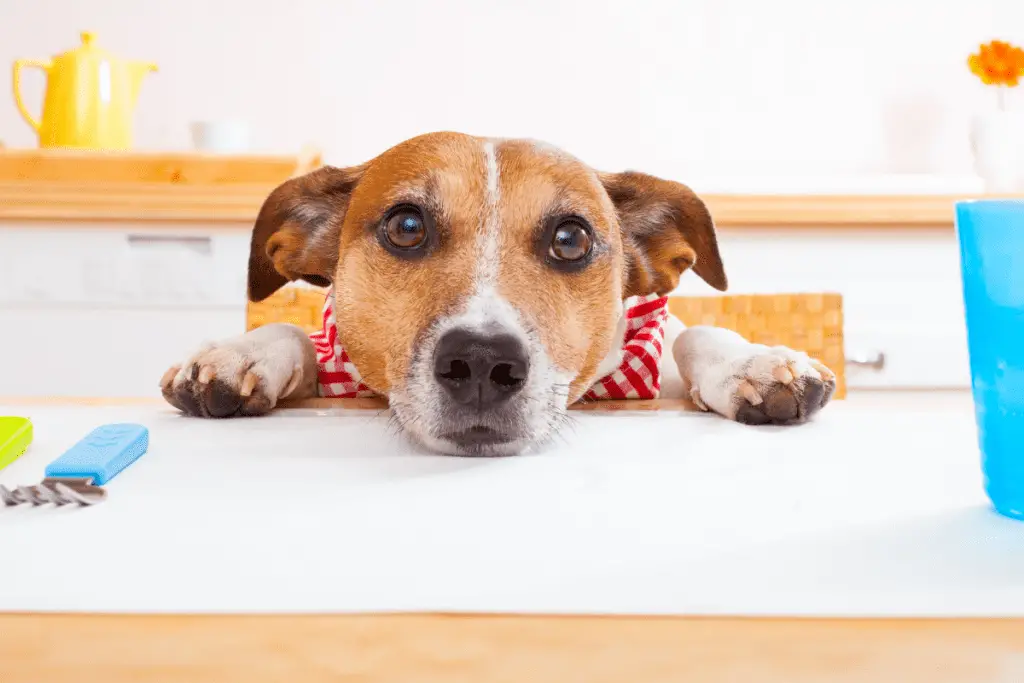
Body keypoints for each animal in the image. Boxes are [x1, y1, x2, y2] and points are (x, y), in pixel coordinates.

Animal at [157, 132, 831, 456]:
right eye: (407, 225)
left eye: (570, 238)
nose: (481, 362)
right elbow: (295, 331)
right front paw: (239, 354)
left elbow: (695, 334)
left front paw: (757, 363)